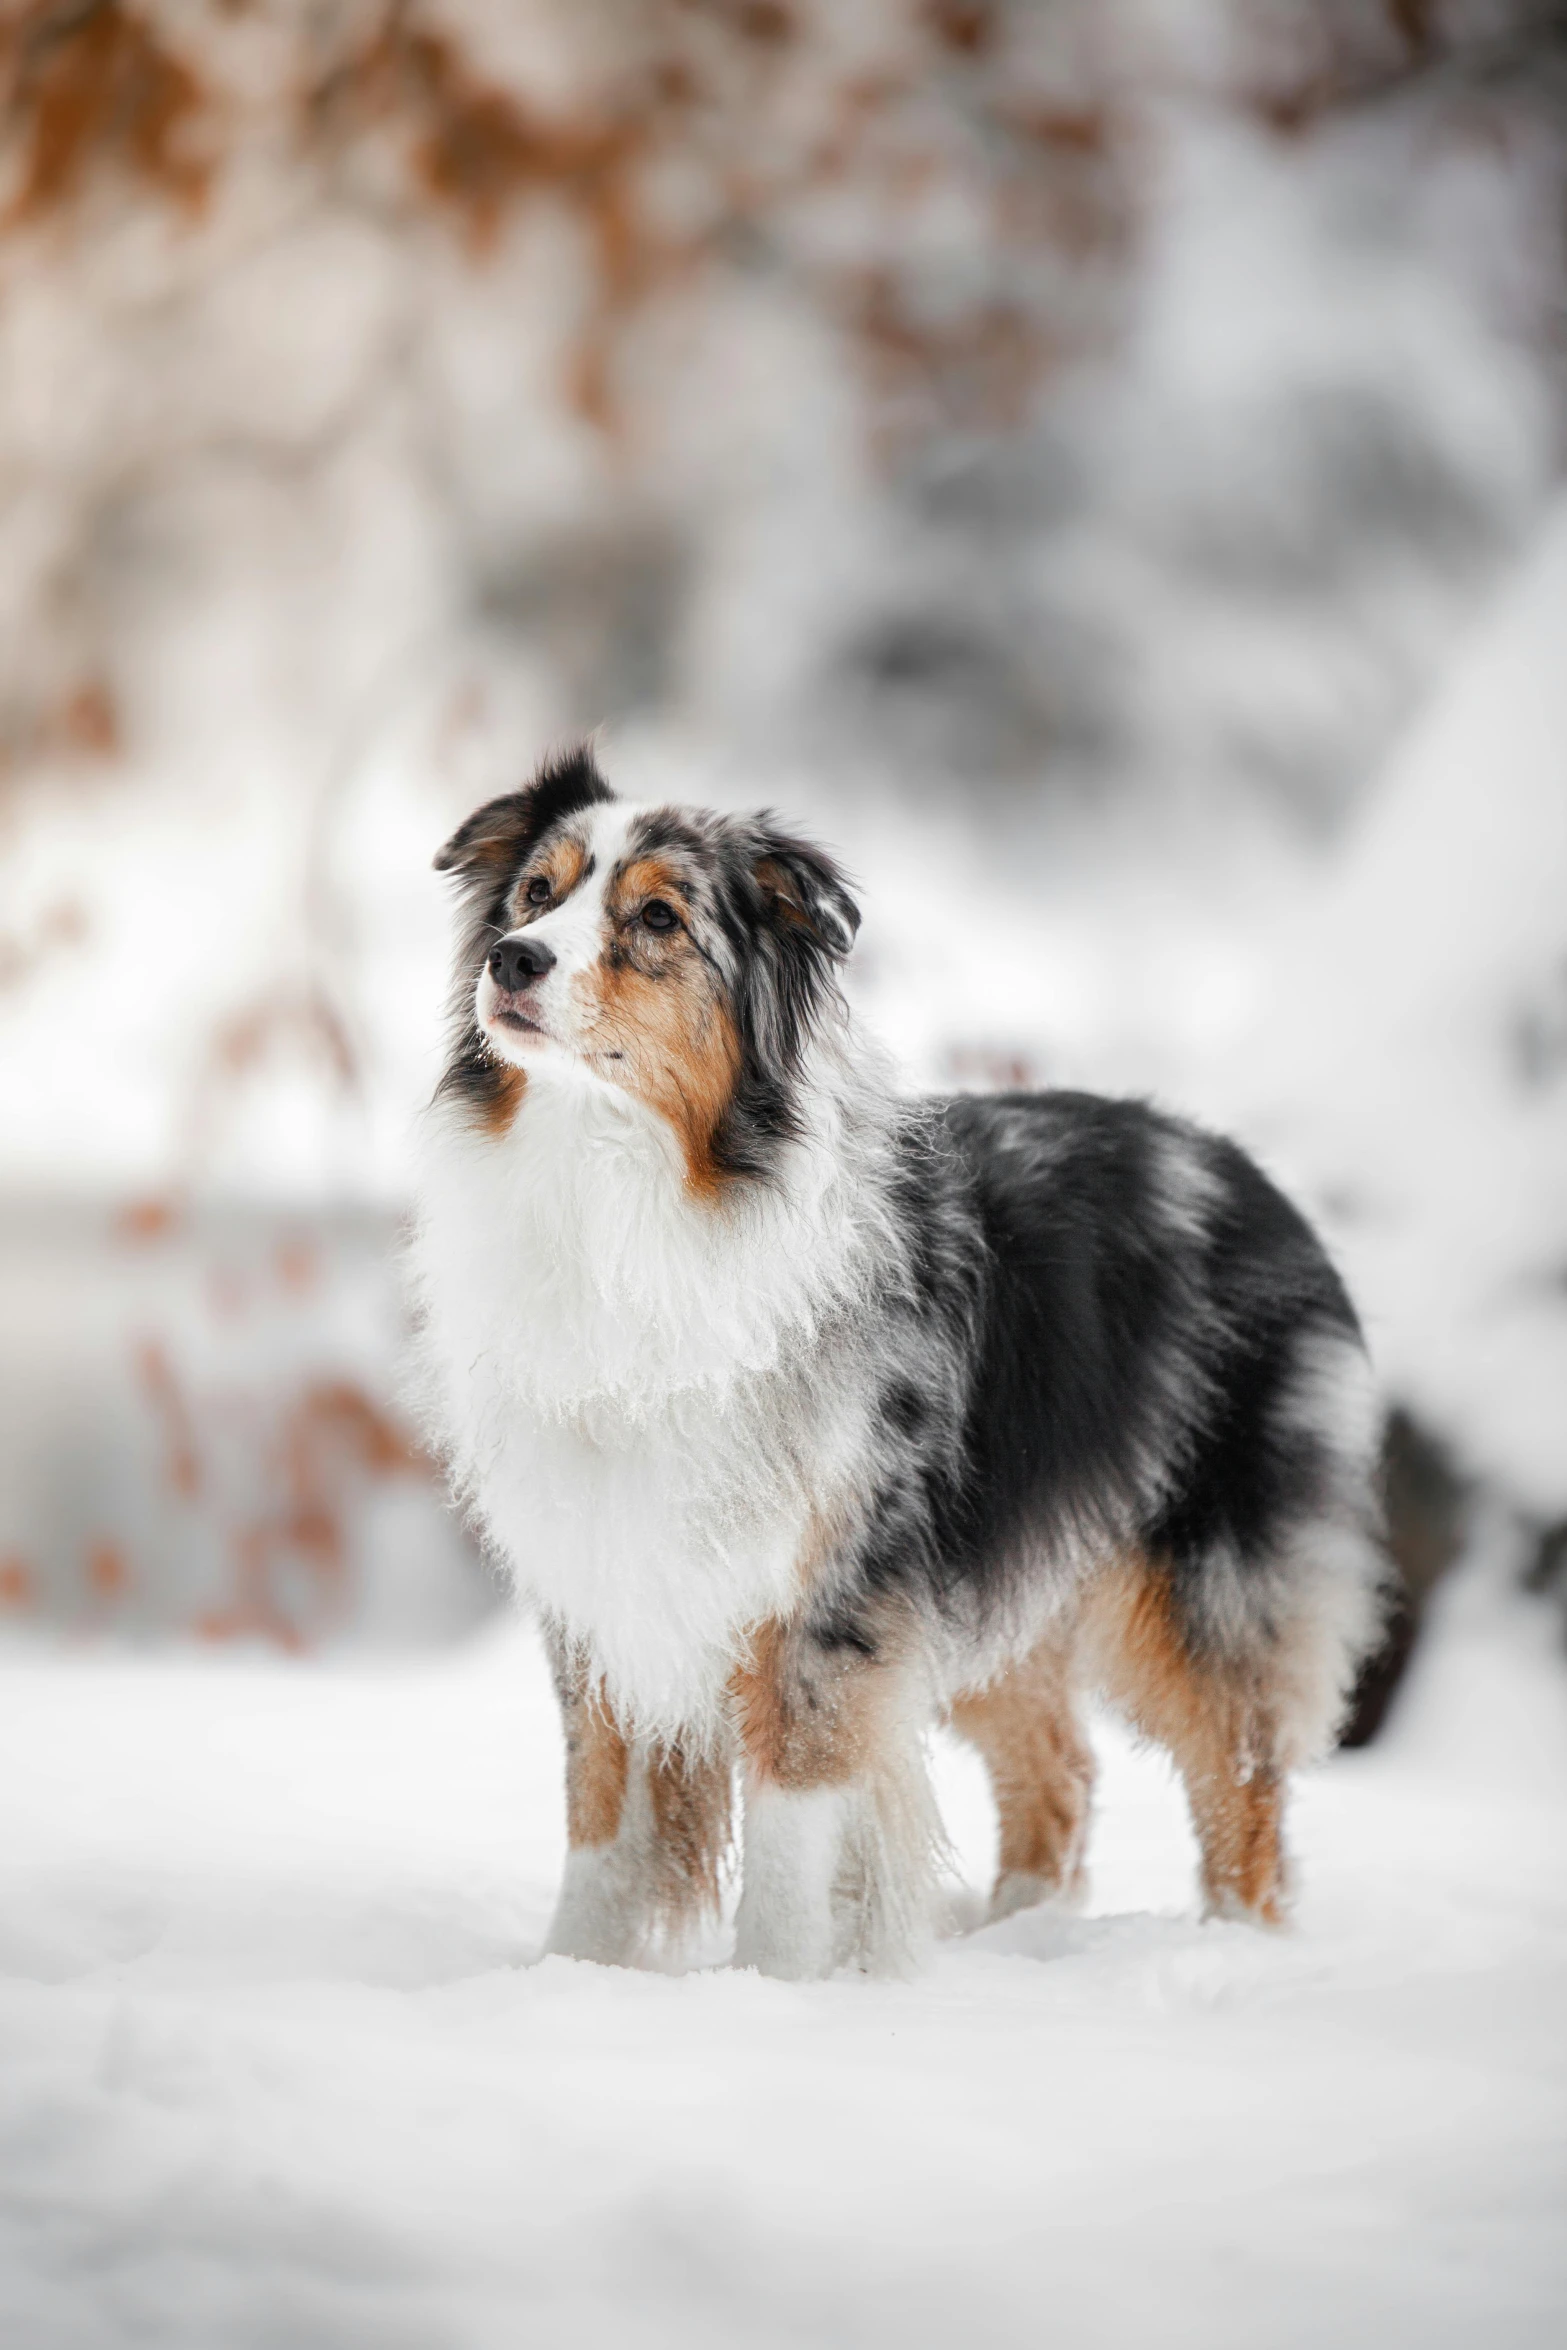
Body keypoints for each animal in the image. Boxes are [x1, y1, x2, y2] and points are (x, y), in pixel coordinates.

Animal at [413, 742, 1381, 1973]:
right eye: (536, 893)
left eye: (659, 917)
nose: (512, 958)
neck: (629, 1187)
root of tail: (1259, 1182)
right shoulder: (604, 1571)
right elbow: (598, 1812)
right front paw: (571, 1976)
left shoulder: (827, 1595)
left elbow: (790, 1831)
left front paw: (771, 1986)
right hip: (995, 1577)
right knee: (1060, 1770)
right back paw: (1010, 1942)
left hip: (1206, 1580)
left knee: (1241, 1784)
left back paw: (1232, 1948)